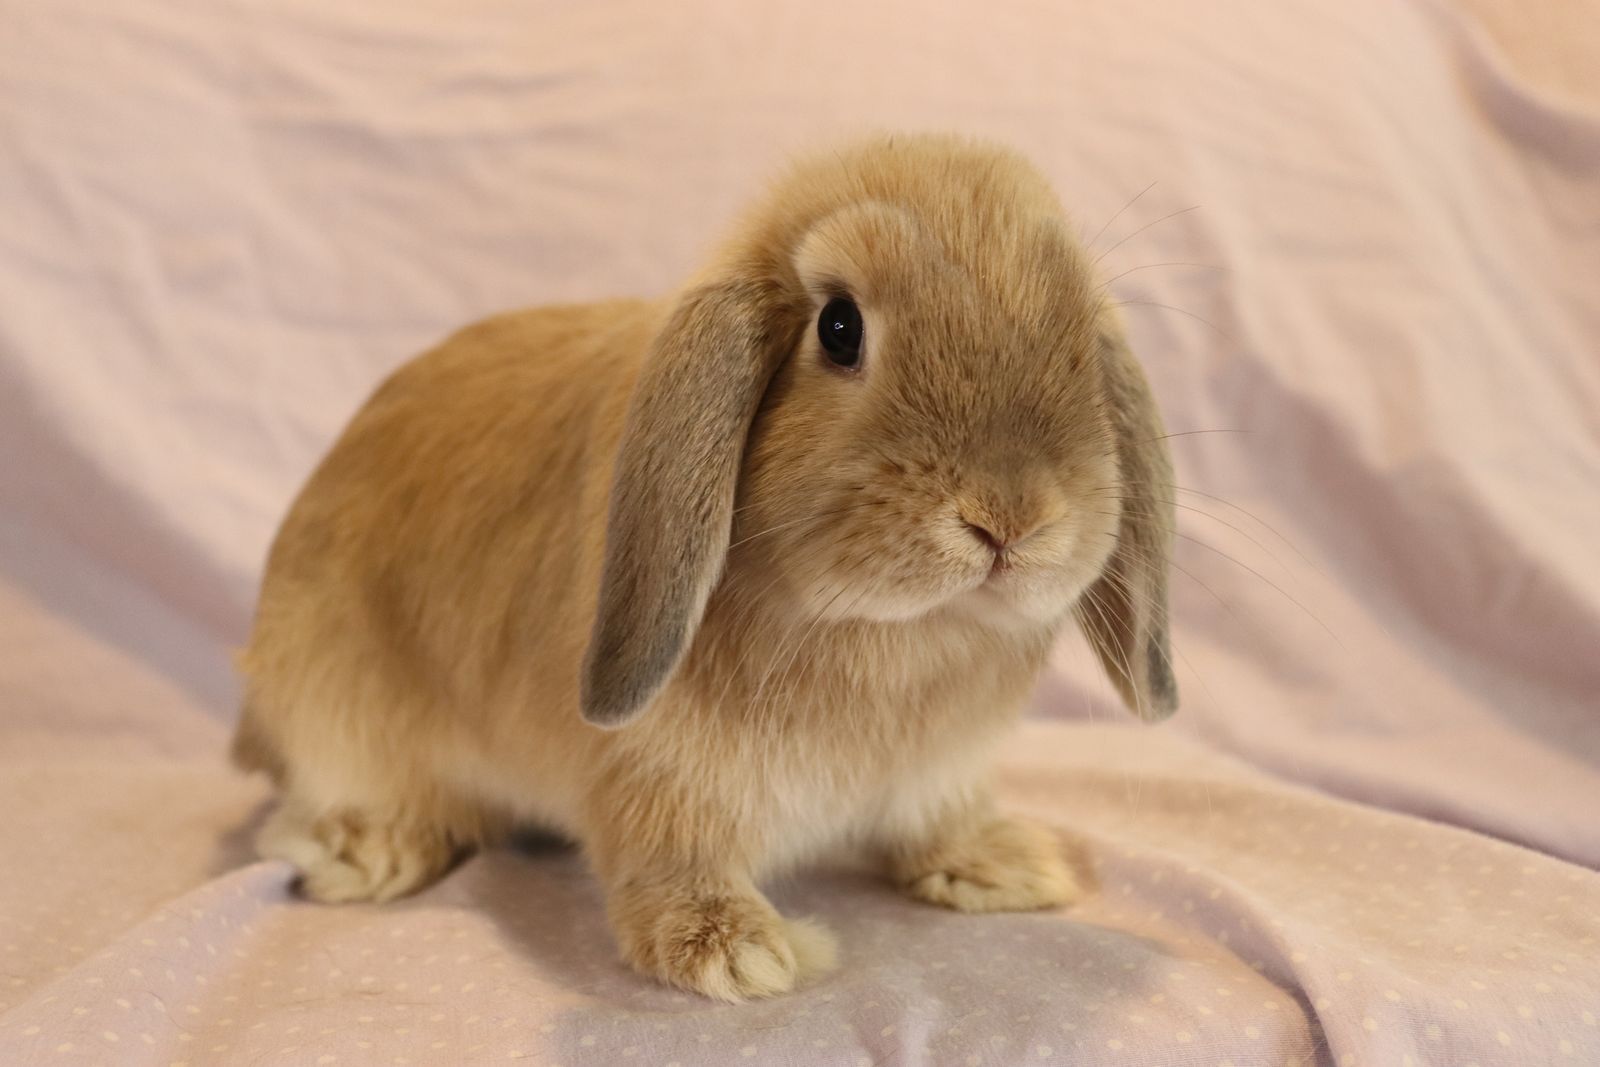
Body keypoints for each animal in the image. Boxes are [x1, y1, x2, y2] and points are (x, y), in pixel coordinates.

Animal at [231, 132, 1178, 1002]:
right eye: (840, 327)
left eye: (1078, 336)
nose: (1011, 518)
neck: (891, 631)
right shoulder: (658, 776)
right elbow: (667, 859)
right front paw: (735, 948)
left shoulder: (938, 773)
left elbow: (937, 818)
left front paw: (1003, 864)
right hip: (334, 708)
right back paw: (367, 851)